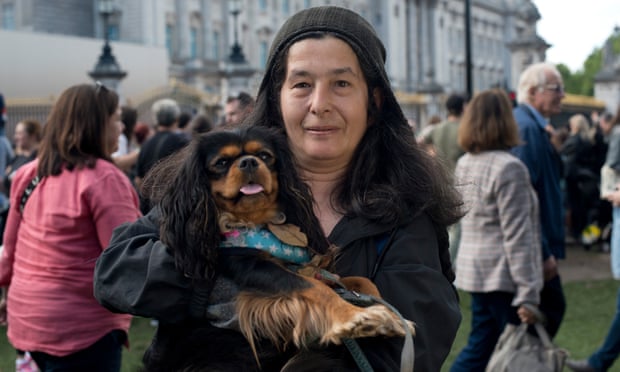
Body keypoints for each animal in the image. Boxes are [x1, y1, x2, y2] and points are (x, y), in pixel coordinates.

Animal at [140, 125, 412, 372]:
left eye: (264, 156)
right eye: (222, 162)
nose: (249, 162)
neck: (259, 222)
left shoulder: (306, 267)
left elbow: (359, 281)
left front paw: (391, 316)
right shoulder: (250, 266)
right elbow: (315, 288)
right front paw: (354, 317)